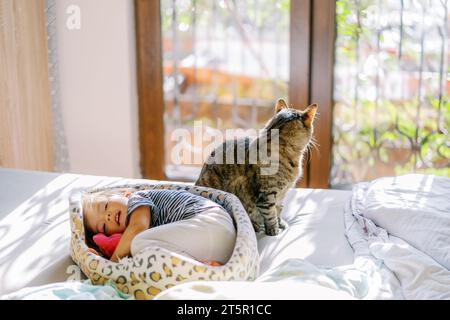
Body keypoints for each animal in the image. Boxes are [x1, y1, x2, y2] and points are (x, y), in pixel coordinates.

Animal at [195, 99, 318, 236]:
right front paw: (274, 230)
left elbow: (279, 210)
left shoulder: (281, 195)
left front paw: (281, 224)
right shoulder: (266, 195)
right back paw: (255, 226)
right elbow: (271, 214)